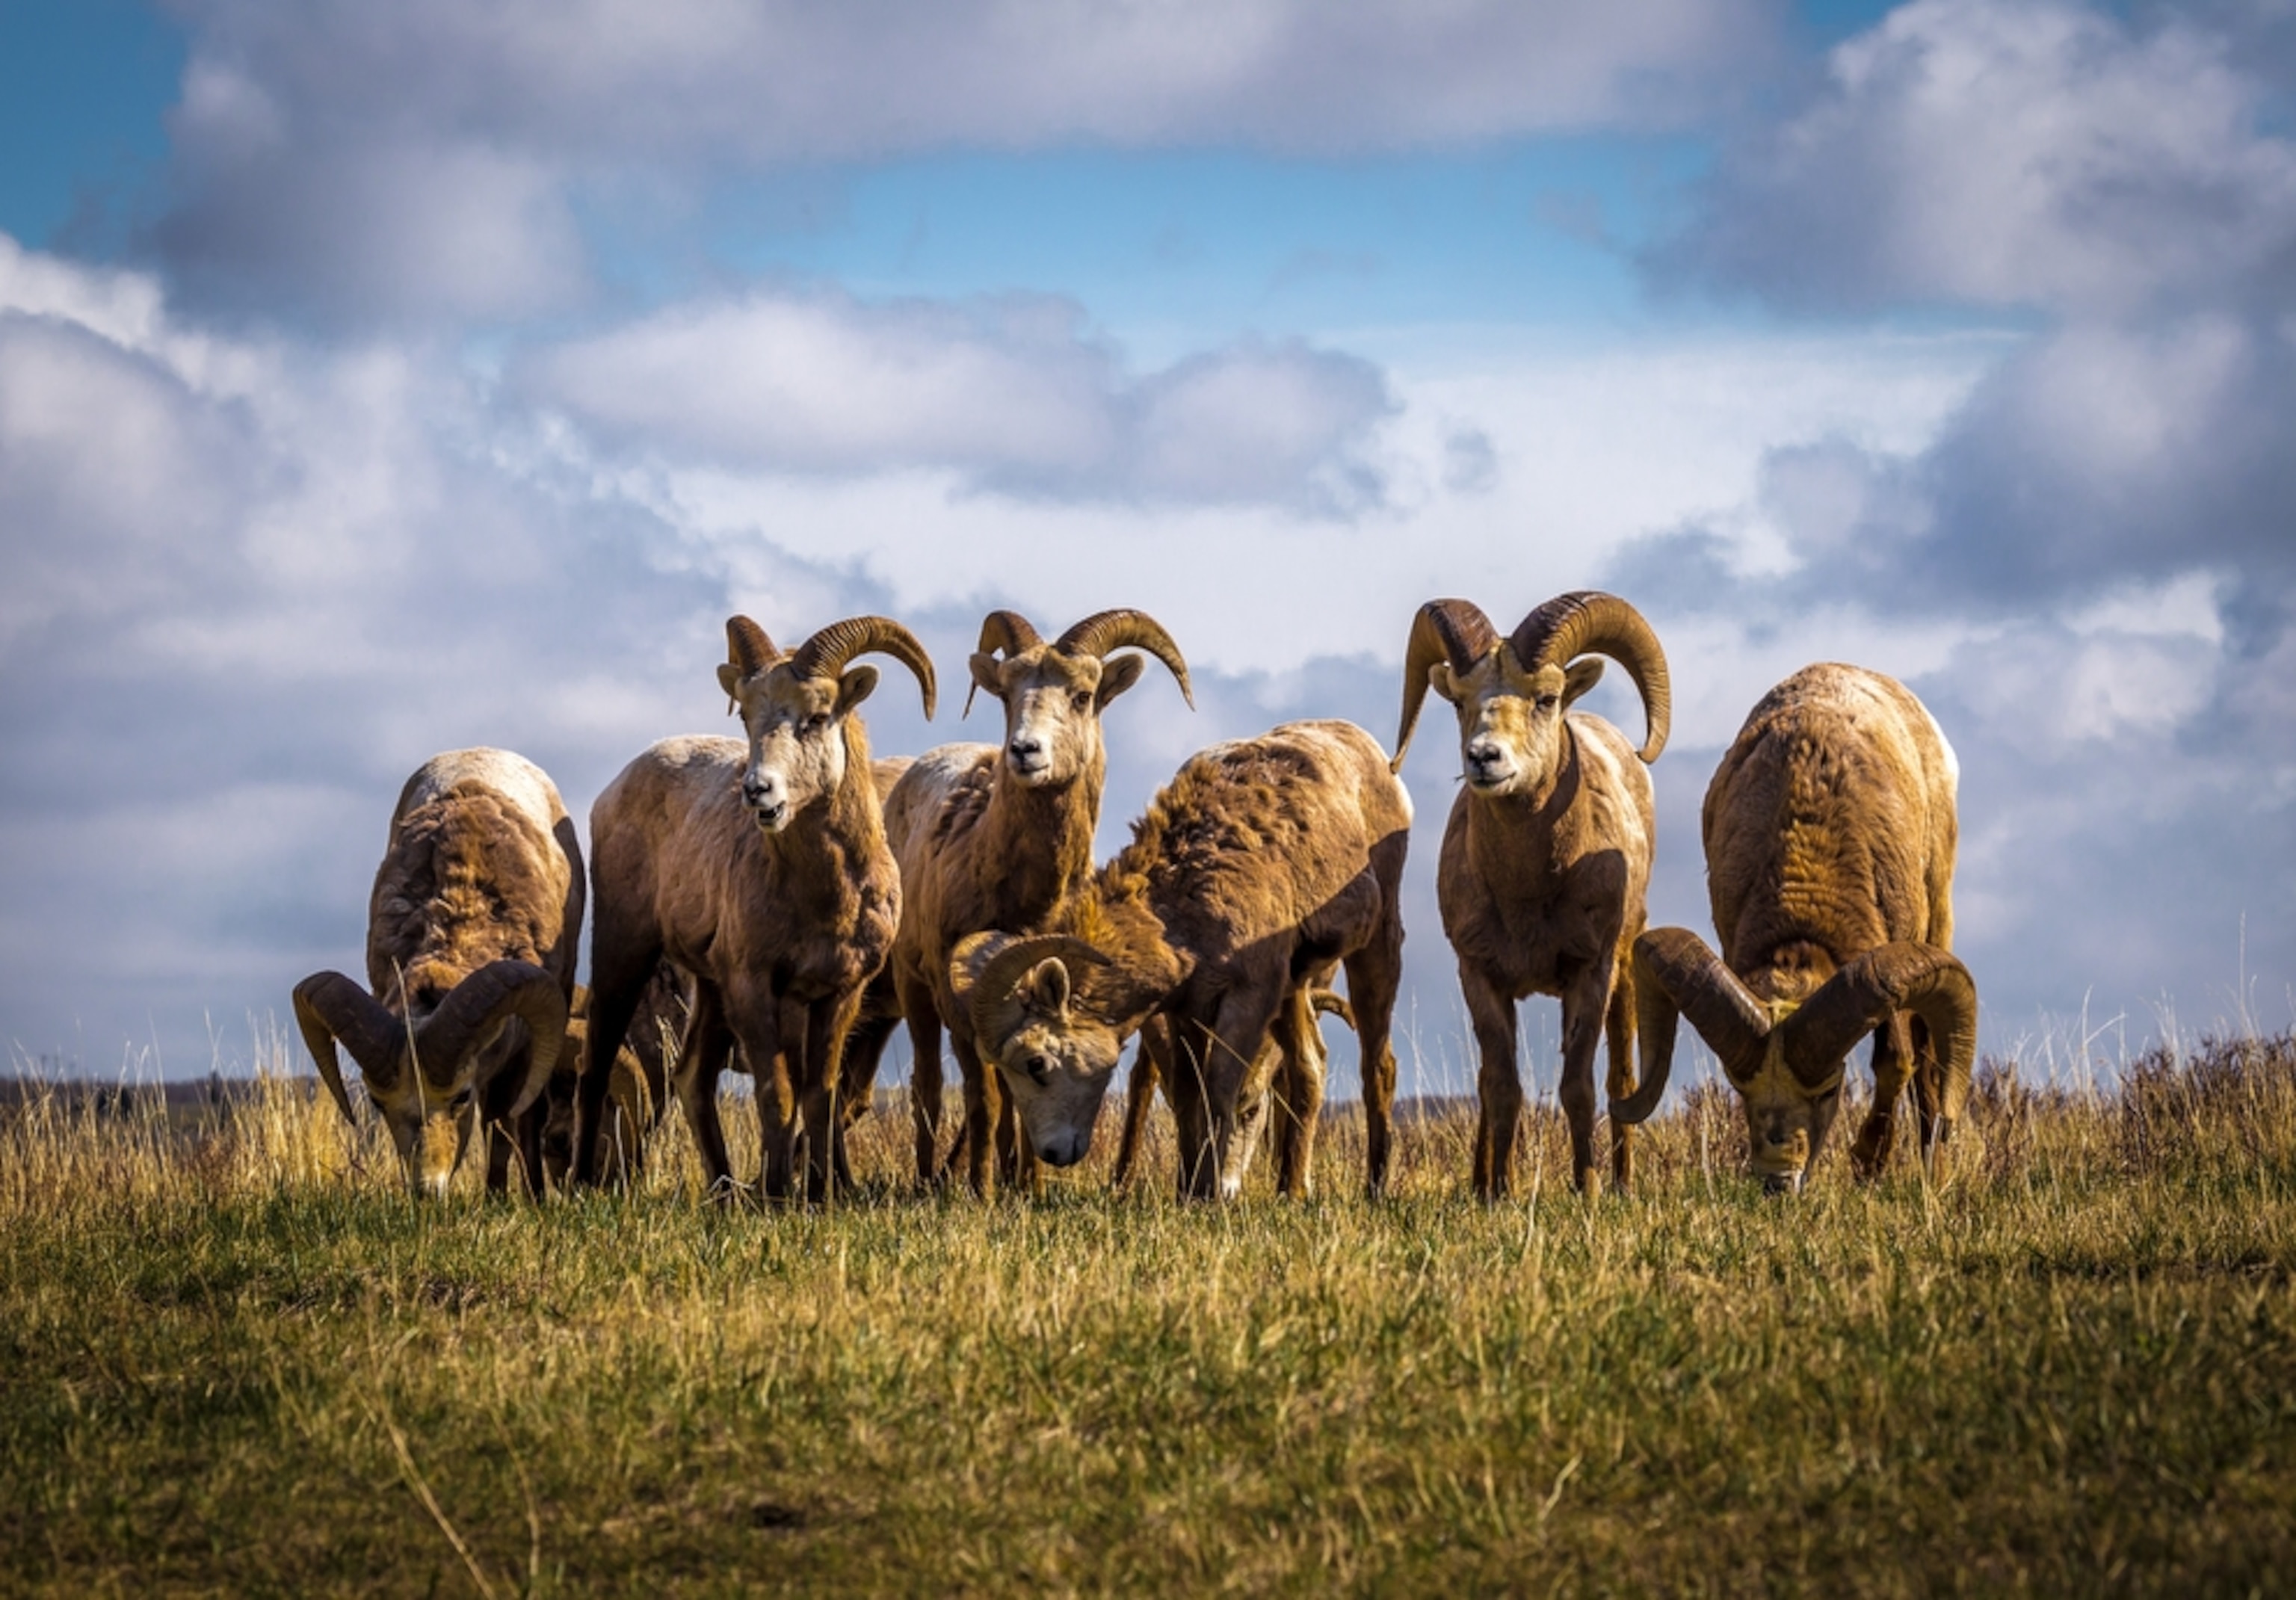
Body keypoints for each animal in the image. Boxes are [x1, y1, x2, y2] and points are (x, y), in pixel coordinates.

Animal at [292, 748, 578, 1199]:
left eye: (461, 1097)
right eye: (378, 1102)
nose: (428, 1188)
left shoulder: (522, 1056)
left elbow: (503, 1126)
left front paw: (499, 1198)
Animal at [571, 614, 936, 1202]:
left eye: (817, 716)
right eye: (746, 713)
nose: (759, 791)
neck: (824, 902)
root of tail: (616, 787)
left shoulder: (840, 995)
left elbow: (821, 1097)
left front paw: (819, 1196)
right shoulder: (755, 985)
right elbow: (778, 1095)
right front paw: (779, 1196)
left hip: (709, 990)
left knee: (693, 1077)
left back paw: (725, 1190)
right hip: (625, 951)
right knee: (598, 1065)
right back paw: (581, 1183)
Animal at [857, 608, 1192, 1197]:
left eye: (1083, 695)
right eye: (1008, 692)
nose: (1025, 752)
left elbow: (1020, 1090)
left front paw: (1029, 1185)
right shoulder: (958, 999)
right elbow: (985, 1097)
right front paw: (983, 1190)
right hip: (914, 987)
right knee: (928, 1085)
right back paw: (928, 1179)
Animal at [949, 719, 1410, 1200]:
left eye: (1036, 1063)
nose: (1054, 1154)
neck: (1179, 906)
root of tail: (1359, 742)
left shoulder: (1247, 999)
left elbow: (1220, 1089)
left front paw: (1210, 1196)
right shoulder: (1188, 1010)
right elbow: (1191, 1095)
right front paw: (1190, 1191)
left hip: (1375, 946)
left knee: (1378, 1066)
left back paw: (1375, 1187)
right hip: (1295, 986)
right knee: (1309, 1068)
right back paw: (1292, 1190)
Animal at [1389, 592, 1670, 1199]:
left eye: (1545, 698)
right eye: (1460, 702)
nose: (1485, 758)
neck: (1527, 893)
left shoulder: (1590, 974)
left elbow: (1579, 1086)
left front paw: (1587, 1188)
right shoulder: (1482, 978)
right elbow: (1502, 1088)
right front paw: (1500, 1192)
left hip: (1625, 974)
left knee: (1622, 1079)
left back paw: (1621, 1182)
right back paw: (1483, 1182)